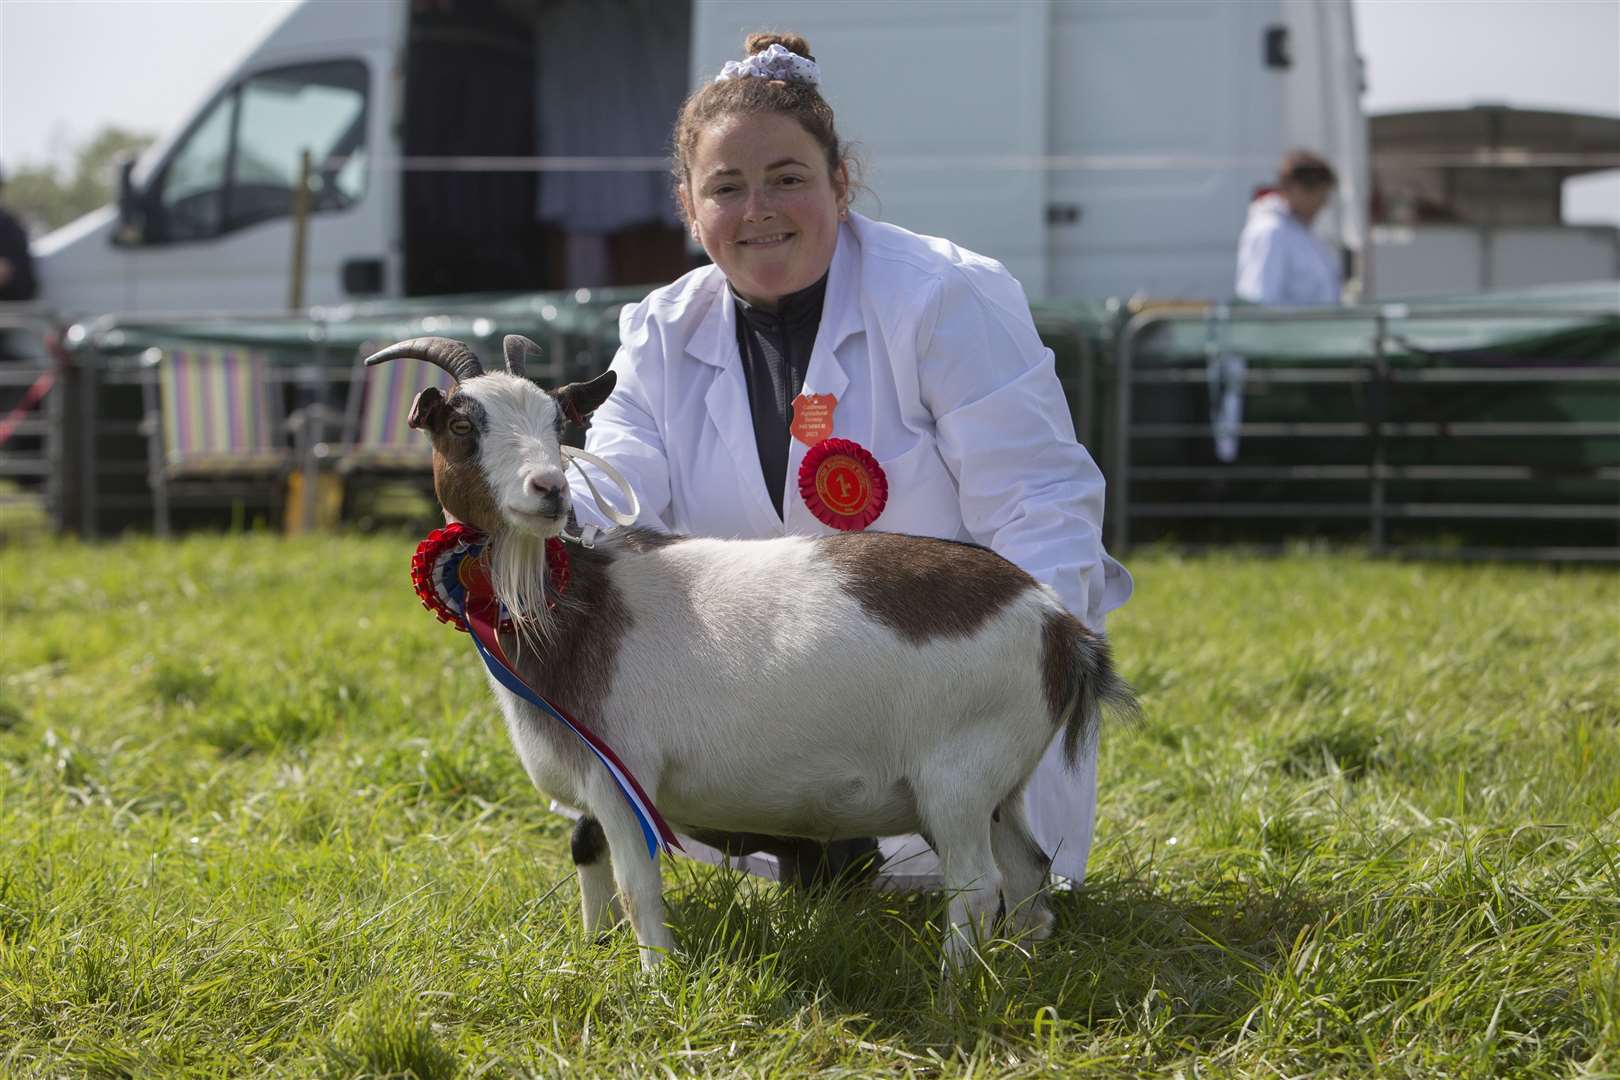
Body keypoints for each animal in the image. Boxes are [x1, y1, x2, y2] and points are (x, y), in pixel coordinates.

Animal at [369, 331, 1134, 971]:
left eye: (560, 426)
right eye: (462, 425)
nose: (550, 490)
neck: (574, 606)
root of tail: (1061, 627)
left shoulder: (625, 776)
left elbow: (637, 888)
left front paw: (657, 984)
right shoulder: (591, 768)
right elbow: (586, 851)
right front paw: (593, 953)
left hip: (958, 780)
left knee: (976, 888)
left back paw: (953, 993)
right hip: (1001, 786)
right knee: (1029, 872)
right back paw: (1025, 973)